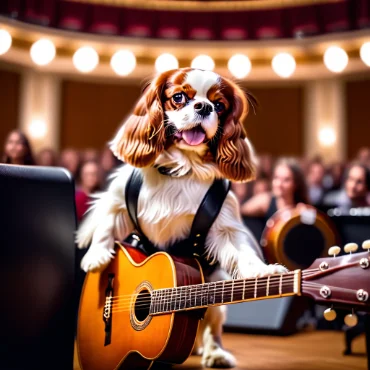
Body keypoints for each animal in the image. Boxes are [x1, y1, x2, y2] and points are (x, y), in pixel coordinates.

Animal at [77, 68, 286, 368]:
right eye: (178, 97)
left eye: (219, 105)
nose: (204, 107)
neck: (181, 168)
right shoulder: (119, 196)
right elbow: (106, 221)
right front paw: (96, 256)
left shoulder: (224, 226)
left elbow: (244, 254)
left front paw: (263, 272)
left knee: (212, 327)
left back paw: (214, 353)